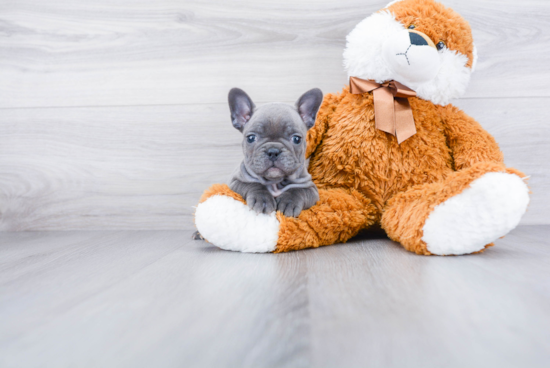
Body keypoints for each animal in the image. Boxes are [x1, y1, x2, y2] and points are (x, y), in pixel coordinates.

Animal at [229, 86, 324, 218]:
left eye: (296, 139)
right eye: (251, 138)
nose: (273, 151)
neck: (274, 182)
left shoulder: (311, 189)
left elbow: (297, 190)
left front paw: (288, 202)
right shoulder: (235, 182)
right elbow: (253, 184)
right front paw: (262, 199)